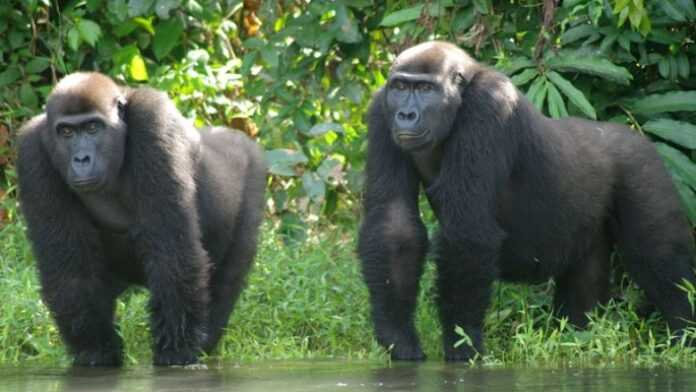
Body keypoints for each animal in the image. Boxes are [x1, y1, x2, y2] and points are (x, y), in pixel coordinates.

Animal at [17, 72, 266, 366]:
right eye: (66, 132)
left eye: (93, 128)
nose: (81, 159)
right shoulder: (31, 149)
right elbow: (71, 272)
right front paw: (96, 350)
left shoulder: (153, 120)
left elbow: (172, 254)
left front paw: (176, 352)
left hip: (255, 168)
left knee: (227, 278)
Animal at [358, 40, 696, 362]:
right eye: (401, 88)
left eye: (425, 89)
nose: (405, 115)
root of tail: (635, 134)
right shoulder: (380, 109)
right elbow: (394, 224)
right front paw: (398, 336)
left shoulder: (489, 106)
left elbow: (467, 231)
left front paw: (462, 340)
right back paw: (579, 335)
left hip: (642, 166)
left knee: (661, 258)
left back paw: (685, 331)